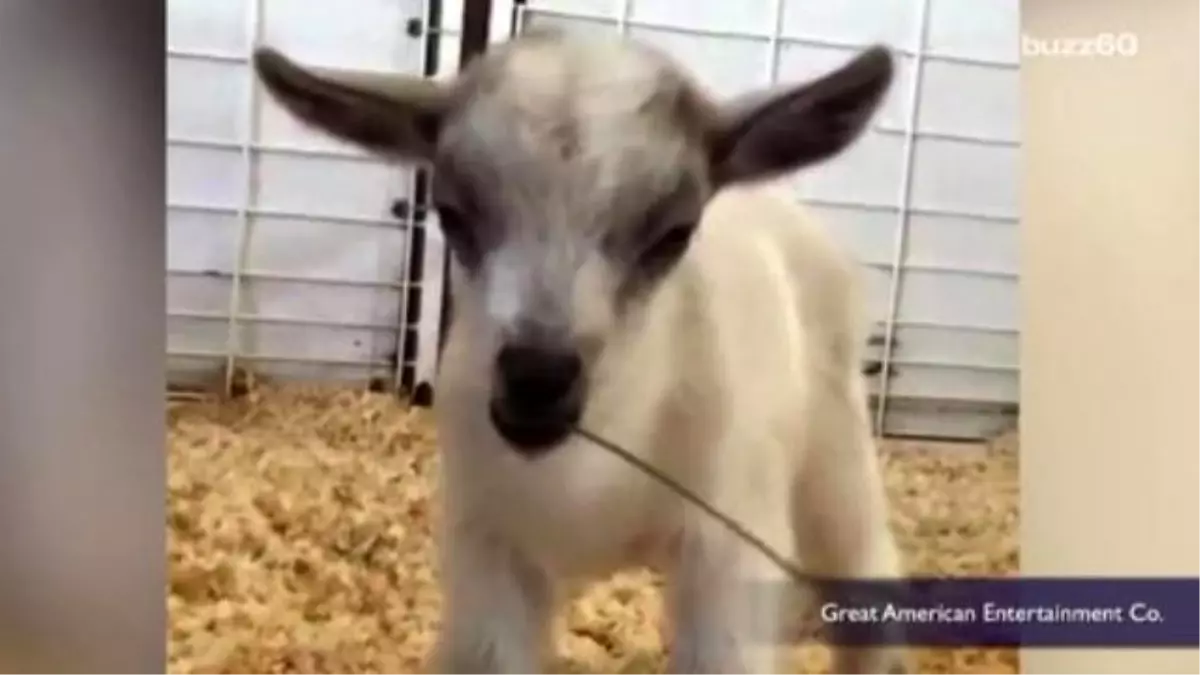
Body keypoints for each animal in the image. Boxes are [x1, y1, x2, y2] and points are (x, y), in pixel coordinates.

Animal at [255, 27, 907, 672]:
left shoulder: (726, 549)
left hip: (833, 462)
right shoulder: (487, 546)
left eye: (674, 232)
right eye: (452, 213)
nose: (536, 381)